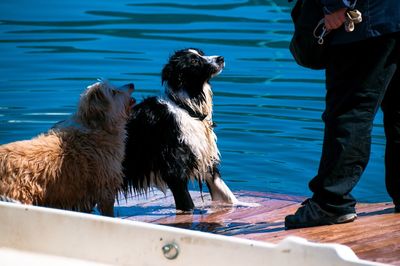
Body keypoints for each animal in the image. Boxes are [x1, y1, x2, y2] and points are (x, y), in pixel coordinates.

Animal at [122, 47, 238, 210]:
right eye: (194, 61)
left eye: (202, 54)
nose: (220, 58)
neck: (187, 108)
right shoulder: (175, 172)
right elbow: (188, 205)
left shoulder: (206, 160)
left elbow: (227, 194)